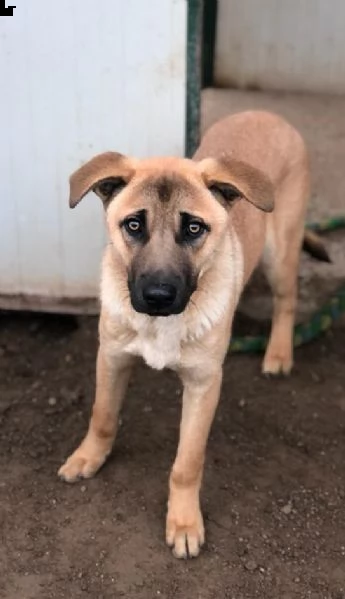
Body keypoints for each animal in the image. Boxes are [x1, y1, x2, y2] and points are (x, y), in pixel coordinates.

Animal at [57, 111, 326, 556]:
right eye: (133, 225)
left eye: (195, 228)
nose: (158, 296)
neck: (160, 325)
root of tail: (267, 114)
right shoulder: (111, 357)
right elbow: (103, 415)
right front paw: (88, 457)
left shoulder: (204, 385)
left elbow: (187, 462)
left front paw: (183, 522)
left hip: (280, 253)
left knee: (286, 301)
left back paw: (278, 353)